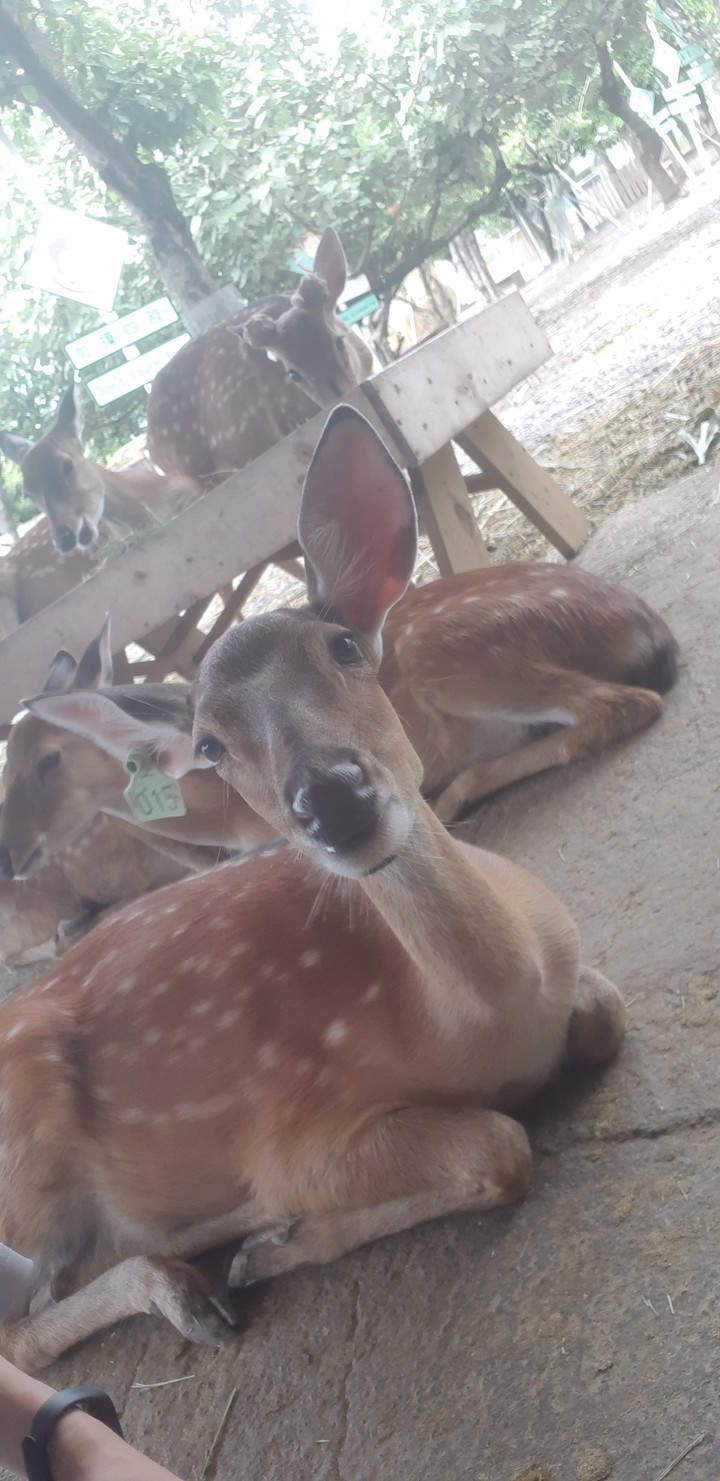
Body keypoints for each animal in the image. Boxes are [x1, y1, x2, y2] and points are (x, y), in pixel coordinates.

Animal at [0, 406, 627, 1374]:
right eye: (210, 745)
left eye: (342, 646)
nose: (330, 796)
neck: (485, 1015)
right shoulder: (299, 1129)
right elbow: (502, 1144)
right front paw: (277, 1242)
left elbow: (606, 1017)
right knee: (23, 1333)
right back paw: (201, 1276)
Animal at [146, 227, 374, 484]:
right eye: (292, 374)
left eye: (339, 342)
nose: (343, 398)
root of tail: (150, 443)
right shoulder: (285, 422)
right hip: (195, 471)